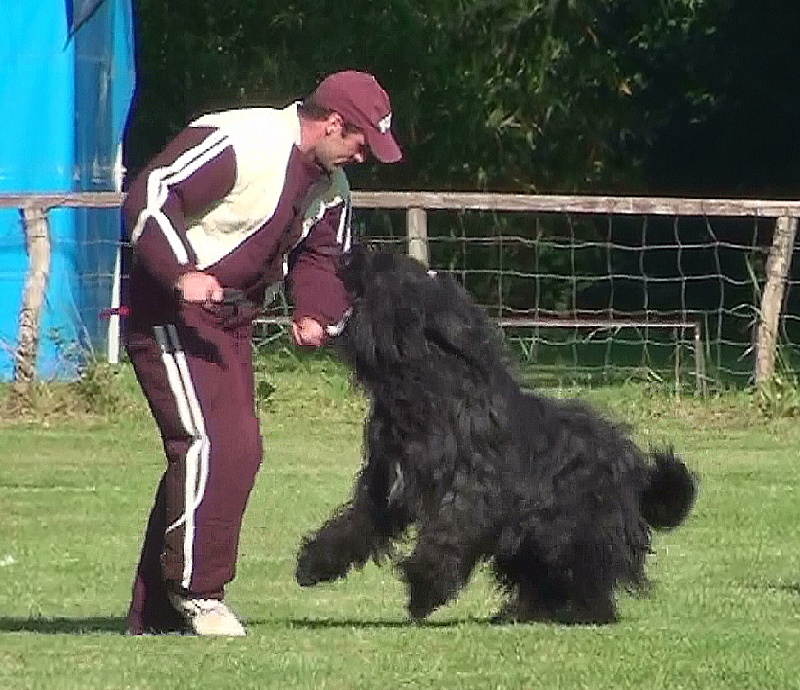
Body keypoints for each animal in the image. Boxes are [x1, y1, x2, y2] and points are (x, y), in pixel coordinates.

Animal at [294, 247, 692, 624]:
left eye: (382, 269)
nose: (347, 255)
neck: (431, 393)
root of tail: (636, 472)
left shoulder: (474, 492)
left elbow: (447, 534)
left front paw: (424, 587)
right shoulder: (388, 484)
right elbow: (354, 524)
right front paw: (314, 562)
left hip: (573, 529)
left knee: (588, 576)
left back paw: (584, 611)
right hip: (528, 542)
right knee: (543, 579)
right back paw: (522, 611)